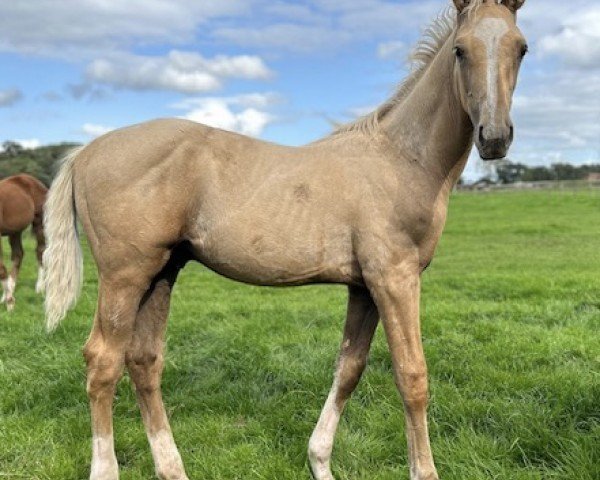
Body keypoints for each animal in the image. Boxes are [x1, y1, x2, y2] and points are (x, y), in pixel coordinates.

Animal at [0, 174, 46, 310]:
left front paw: (10, 303)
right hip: (15, 231)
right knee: (18, 255)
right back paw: (8, 291)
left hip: (39, 222)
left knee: (40, 251)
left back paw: (40, 287)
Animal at [44, 1, 528, 478]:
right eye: (460, 50)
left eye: (520, 48)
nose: (494, 137)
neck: (402, 158)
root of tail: (84, 152)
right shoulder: (395, 278)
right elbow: (412, 376)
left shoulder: (363, 287)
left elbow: (348, 369)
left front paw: (320, 462)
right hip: (124, 276)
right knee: (102, 360)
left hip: (162, 272)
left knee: (143, 360)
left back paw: (172, 468)